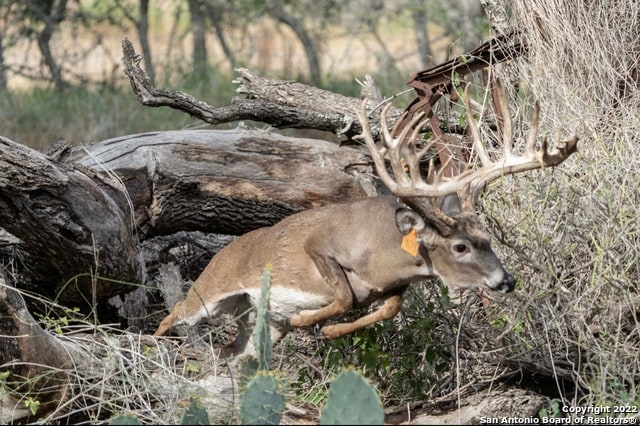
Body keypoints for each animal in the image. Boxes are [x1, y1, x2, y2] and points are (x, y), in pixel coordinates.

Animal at [154, 82, 580, 356]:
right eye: (460, 246)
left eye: (488, 239)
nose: (506, 281)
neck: (383, 253)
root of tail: (221, 254)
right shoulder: (318, 243)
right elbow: (343, 294)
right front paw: (309, 318)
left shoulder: (393, 287)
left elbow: (387, 308)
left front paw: (328, 329)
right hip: (209, 292)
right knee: (173, 314)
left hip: (251, 320)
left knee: (232, 354)